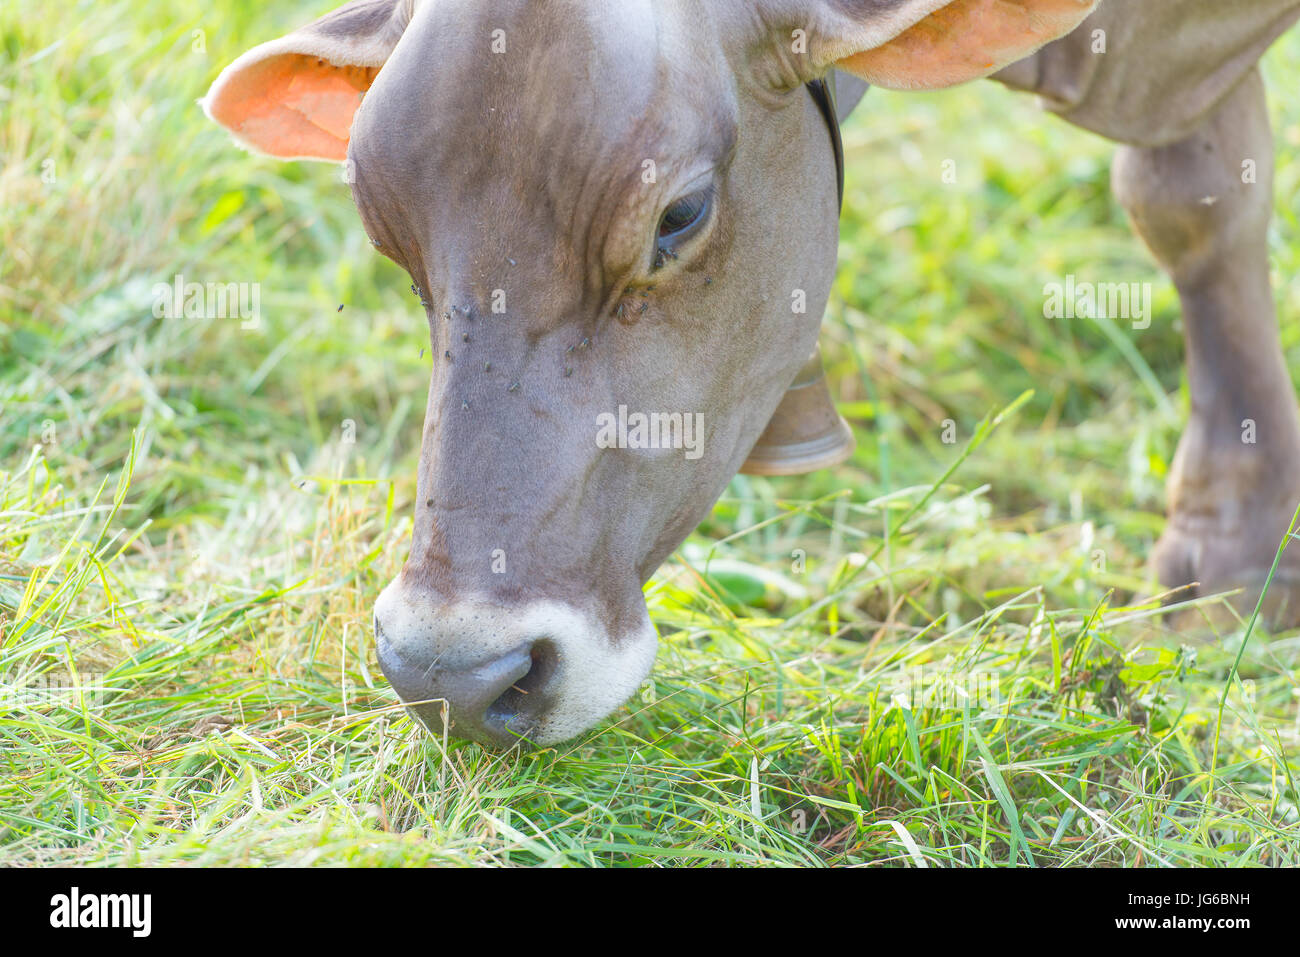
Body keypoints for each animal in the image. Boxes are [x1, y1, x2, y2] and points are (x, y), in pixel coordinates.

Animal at [204, 0, 1300, 746]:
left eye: (679, 215)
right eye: (389, 236)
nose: (452, 676)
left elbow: (1195, 202)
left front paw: (1234, 562)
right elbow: (1191, 197)